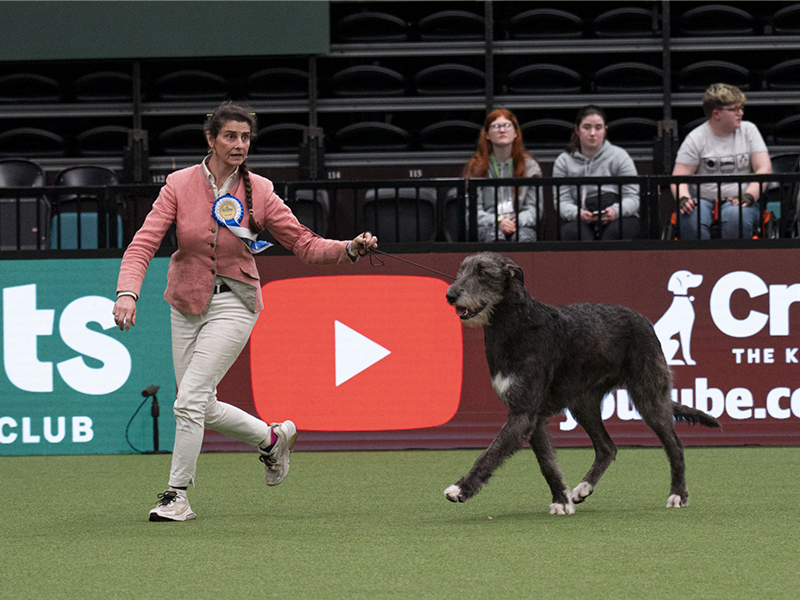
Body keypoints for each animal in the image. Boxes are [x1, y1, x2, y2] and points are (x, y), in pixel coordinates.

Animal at [444, 251, 720, 512]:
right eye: (462, 270)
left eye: (482, 273)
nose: (450, 295)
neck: (517, 324)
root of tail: (644, 320)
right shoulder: (532, 415)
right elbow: (547, 462)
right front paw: (561, 499)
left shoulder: (523, 412)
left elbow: (493, 451)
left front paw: (461, 489)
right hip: (583, 403)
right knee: (607, 447)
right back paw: (584, 487)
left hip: (648, 395)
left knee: (675, 445)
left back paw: (678, 494)